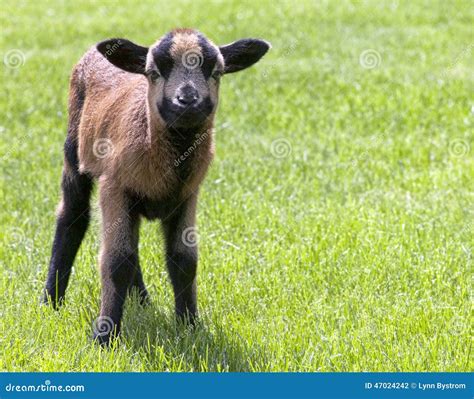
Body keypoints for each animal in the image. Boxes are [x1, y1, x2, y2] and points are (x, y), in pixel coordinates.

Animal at [43, 28, 270, 346]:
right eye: (153, 72)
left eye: (217, 72)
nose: (187, 100)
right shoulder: (115, 187)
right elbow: (116, 261)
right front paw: (105, 337)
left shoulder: (187, 196)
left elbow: (184, 260)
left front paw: (190, 326)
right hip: (74, 150)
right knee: (72, 215)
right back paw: (51, 301)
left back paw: (142, 301)